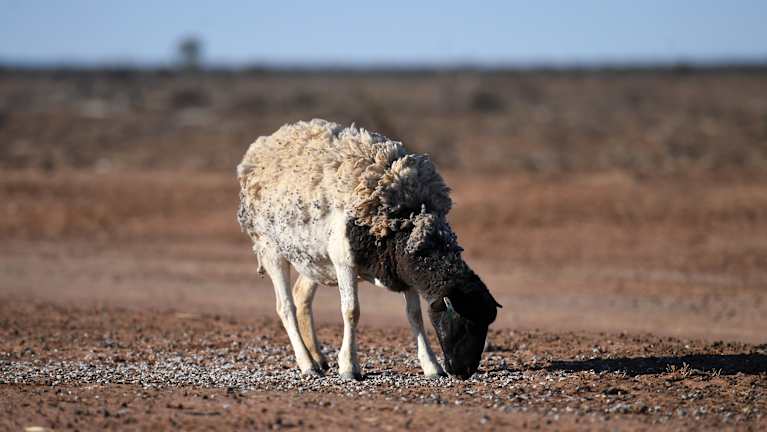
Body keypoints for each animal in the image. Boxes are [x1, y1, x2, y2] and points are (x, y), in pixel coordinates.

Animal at [237, 119, 501, 380]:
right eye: (465, 323)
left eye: (486, 325)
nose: (465, 370)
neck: (405, 216)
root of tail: (262, 146)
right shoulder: (344, 261)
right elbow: (351, 311)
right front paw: (349, 367)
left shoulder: (402, 266)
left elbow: (414, 314)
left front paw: (431, 367)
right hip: (270, 248)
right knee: (285, 307)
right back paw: (307, 364)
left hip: (314, 258)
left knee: (301, 295)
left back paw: (318, 358)